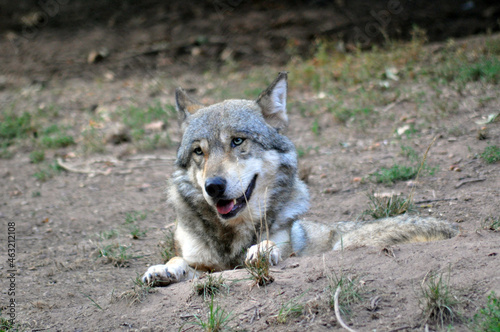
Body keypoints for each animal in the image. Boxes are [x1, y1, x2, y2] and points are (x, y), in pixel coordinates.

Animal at [140, 71, 458, 284]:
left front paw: (262, 250)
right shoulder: (204, 264)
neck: (232, 237)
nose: (213, 187)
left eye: (237, 141)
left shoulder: (287, 248)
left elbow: (271, 247)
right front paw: (165, 268)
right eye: (198, 151)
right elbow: (181, 260)